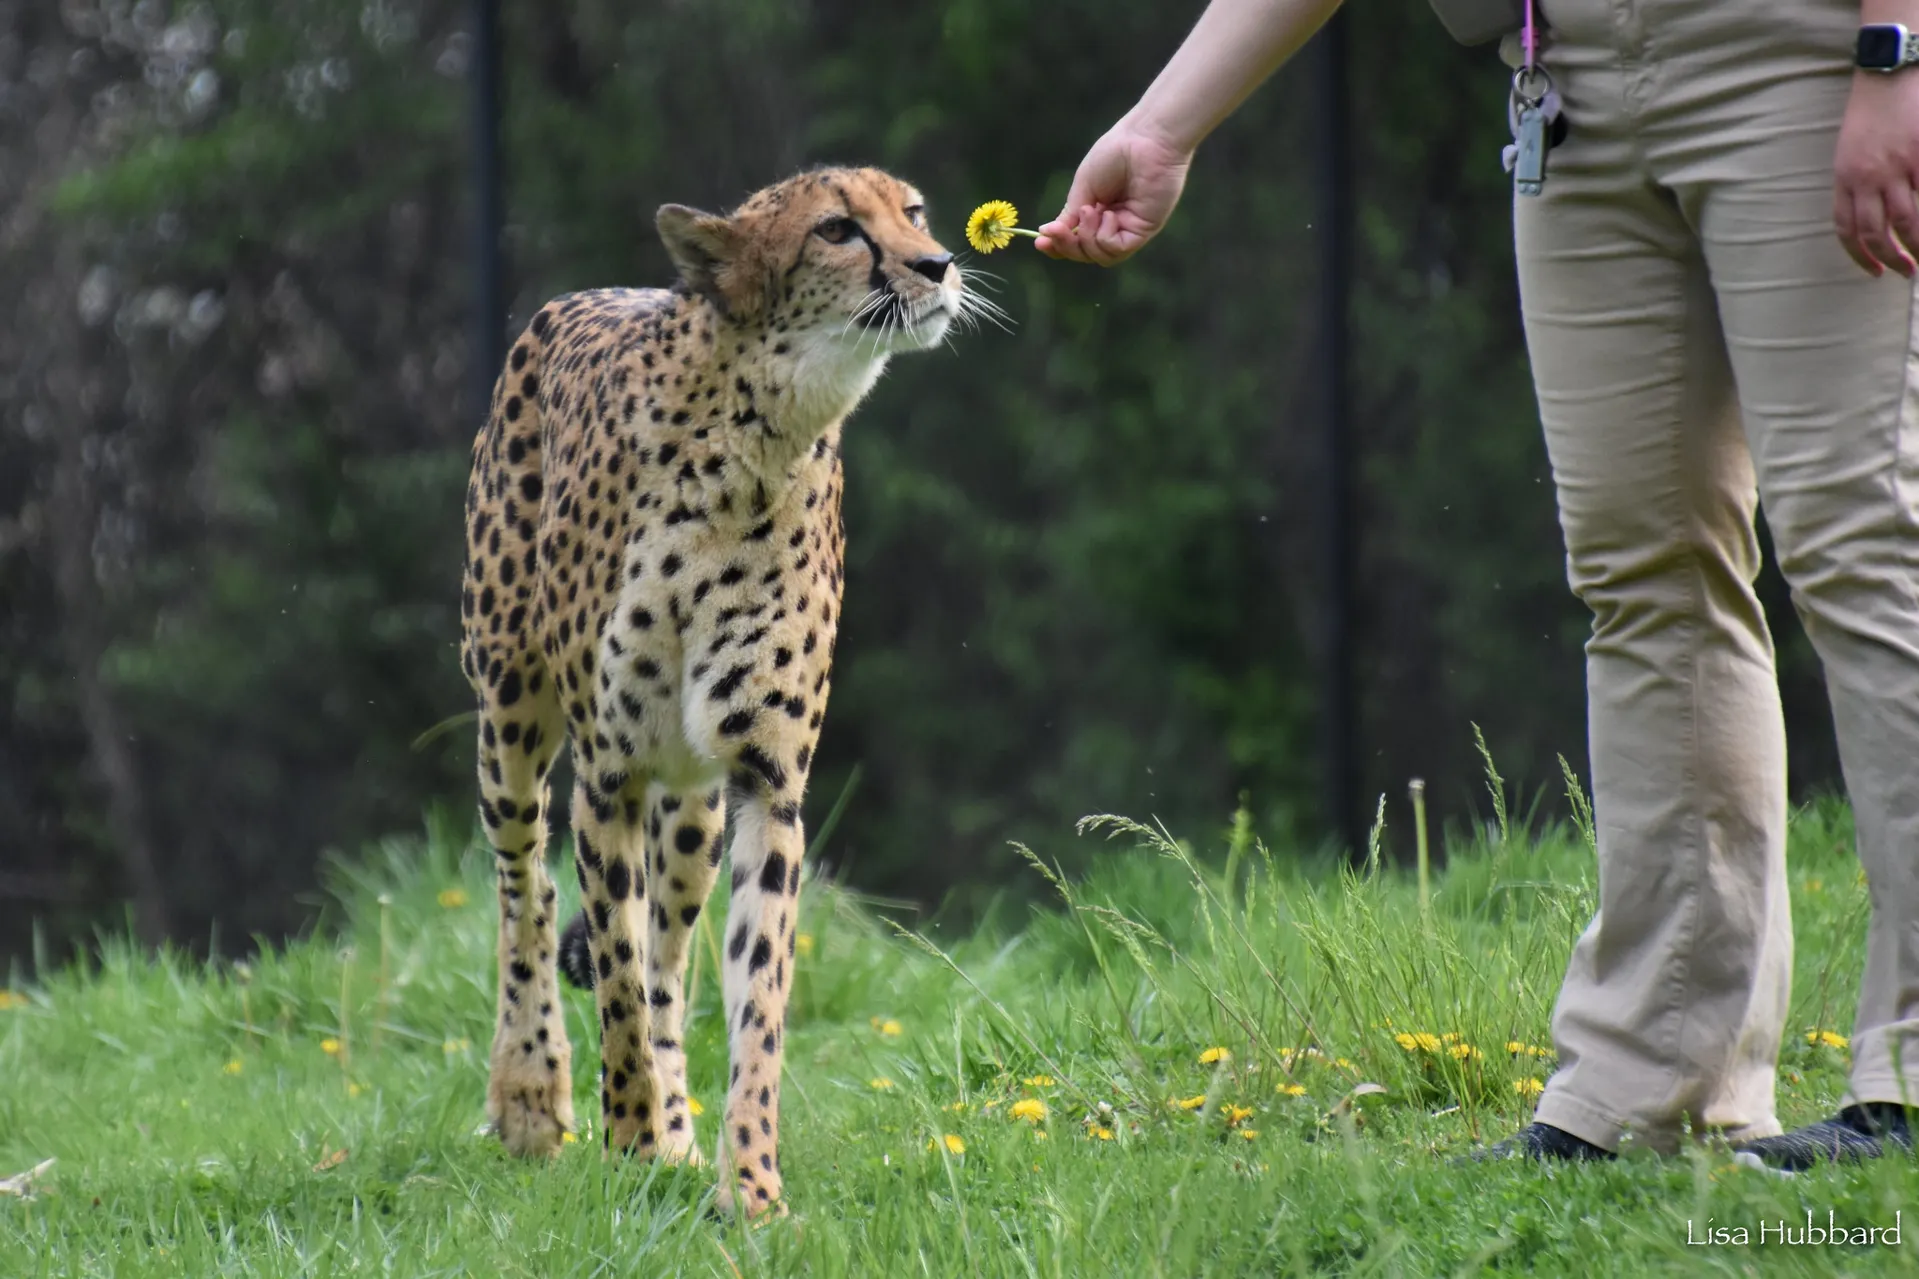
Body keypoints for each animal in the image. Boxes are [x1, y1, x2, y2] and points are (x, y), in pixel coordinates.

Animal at [457, 165, 980, 1216]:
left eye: (913, 213)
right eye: (837, 229)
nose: (938, 264)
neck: (761, 435)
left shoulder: (763, 780)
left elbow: (751, 996)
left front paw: (749, 1184)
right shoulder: (608, 775)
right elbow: (614, 974)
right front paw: (625, 1140)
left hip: (693, 805)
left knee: (669, 952)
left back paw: (677, 1131)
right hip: (511, 712)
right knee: (525, 887)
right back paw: (534, 1095)